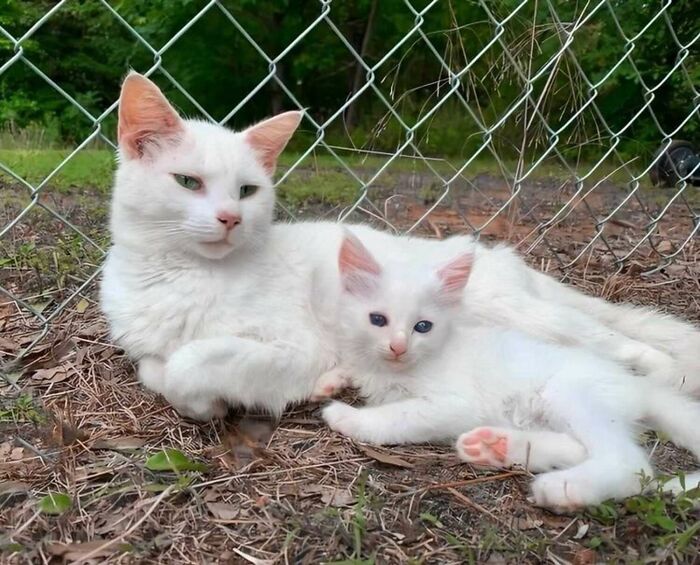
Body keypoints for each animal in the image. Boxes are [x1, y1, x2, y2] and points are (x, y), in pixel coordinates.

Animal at [100, 72, 700, 420]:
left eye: (247, 191)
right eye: (188, 183)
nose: (230, 217)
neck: (179, 276)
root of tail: (502, 258)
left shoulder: (295, 341)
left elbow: (186, 368)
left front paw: (255, 392)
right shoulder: (146, 350)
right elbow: (156, 371)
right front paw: (310, 387)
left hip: (522, 316)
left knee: (622, 344)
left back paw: (665, 380)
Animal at [320, 234, 700, 512]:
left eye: (422, 326)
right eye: (378, 320)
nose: (398, 347)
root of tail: (639, 385)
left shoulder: (453, 403)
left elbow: (399, 416)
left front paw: (349, 417)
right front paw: (331, 380)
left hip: (568, 392)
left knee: (629, 463)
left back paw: (565, 487)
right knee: (579, 447)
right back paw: (494, 447)